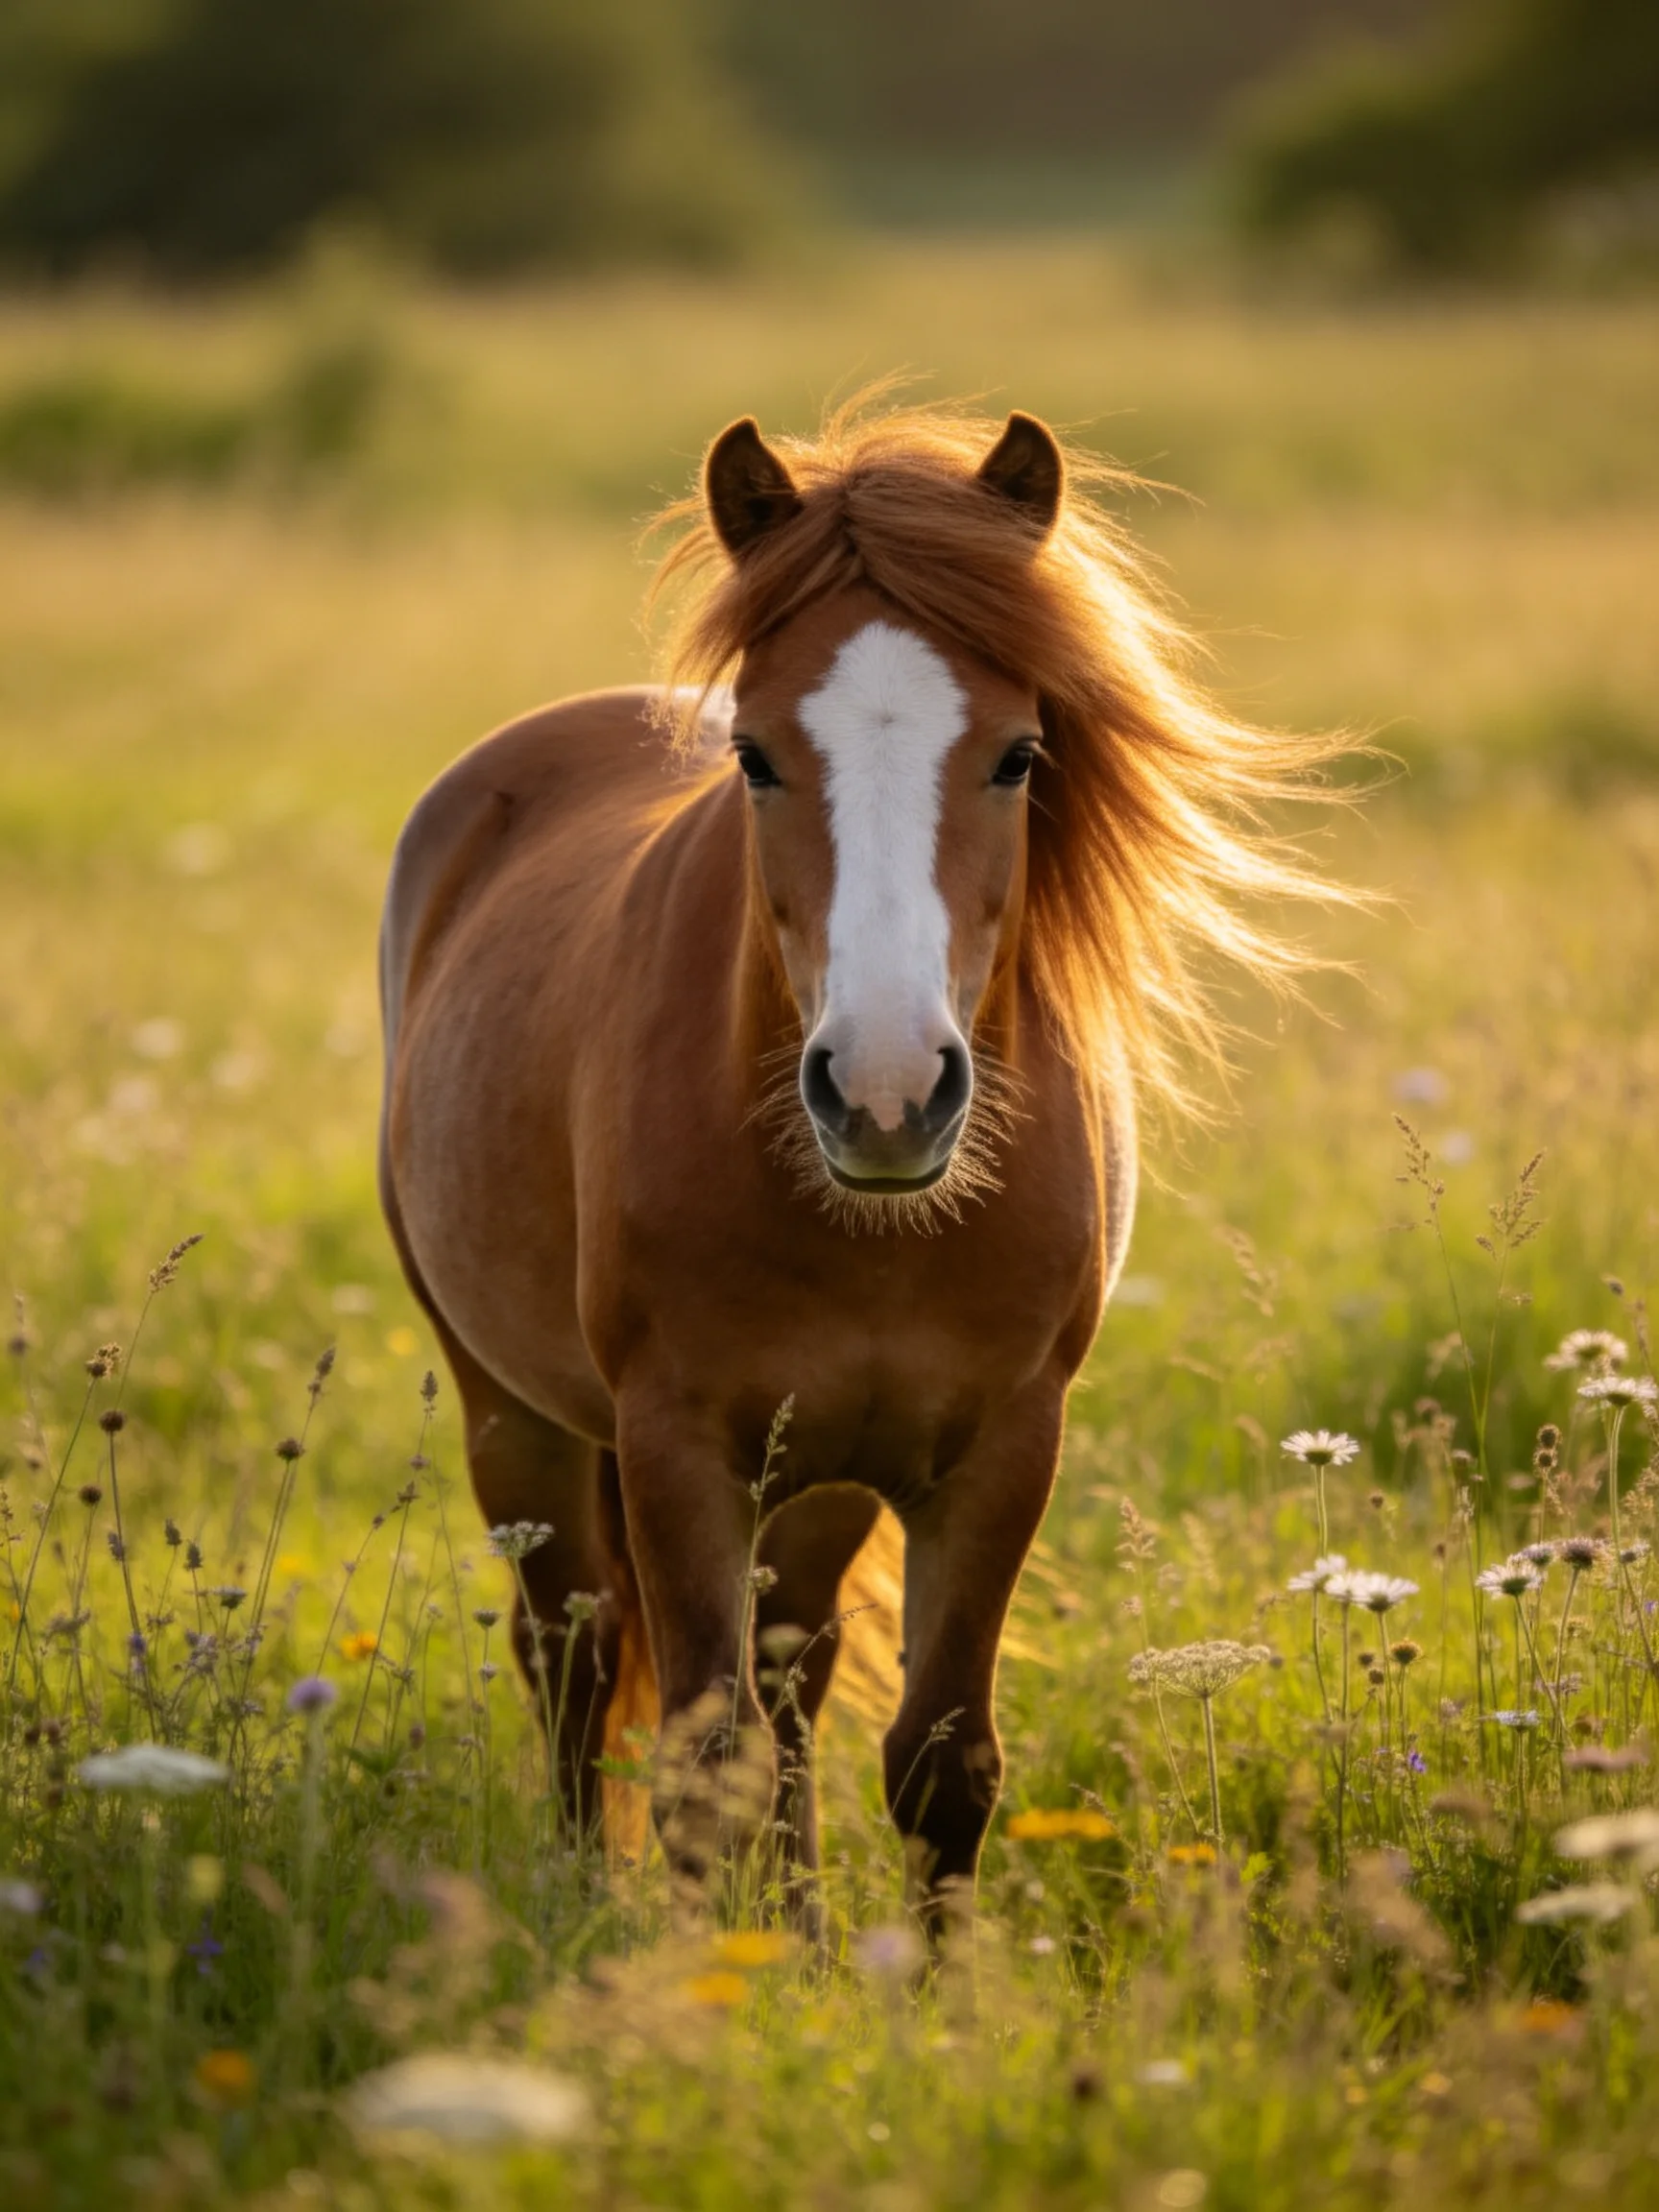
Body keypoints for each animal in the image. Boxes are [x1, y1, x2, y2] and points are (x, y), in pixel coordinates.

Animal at [378, 399, 1341, 1929]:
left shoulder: (1002, 1449)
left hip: (817, 1477)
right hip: (510, 1412)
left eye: (1018, 755)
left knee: (791, 1667)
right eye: (756, 756)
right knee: (572, 1660)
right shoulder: (676, 1448)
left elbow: (940, 1765)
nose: (887, 1096)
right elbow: (699, 1755)